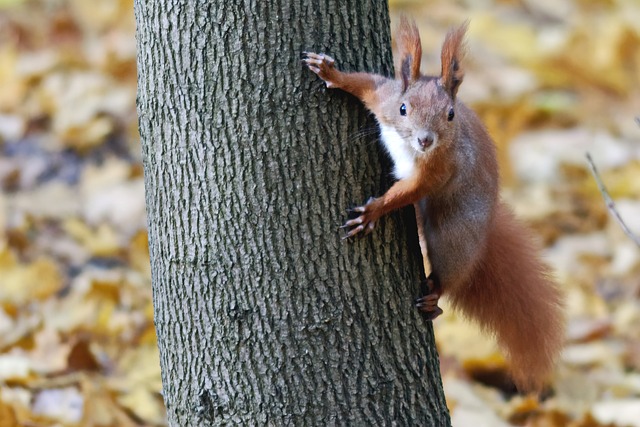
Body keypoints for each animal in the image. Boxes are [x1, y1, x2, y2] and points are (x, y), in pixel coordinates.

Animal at [304, 17, 564, 392]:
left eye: (451, 115)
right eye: (404, 108)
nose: (425, 140)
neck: (411, 146)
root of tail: (485, 232)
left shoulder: (438, 170)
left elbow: (409, 191)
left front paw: (372, 212)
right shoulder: (384, 97)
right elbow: (365, 84)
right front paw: (330, 72)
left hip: (453, 237)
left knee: (451, 274)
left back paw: (435, 296)